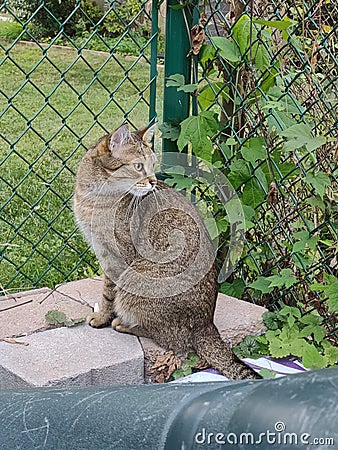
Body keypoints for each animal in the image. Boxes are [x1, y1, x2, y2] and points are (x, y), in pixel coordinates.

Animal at [74, 123, 258, 380]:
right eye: (138, 166)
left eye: (152, 165)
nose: (152, 182)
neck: (93, 194)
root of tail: (206, 324)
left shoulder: (115, 257)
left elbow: (108, 294)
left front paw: (101, 318)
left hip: (135, 283)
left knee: (172, 339)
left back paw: (124, 324)